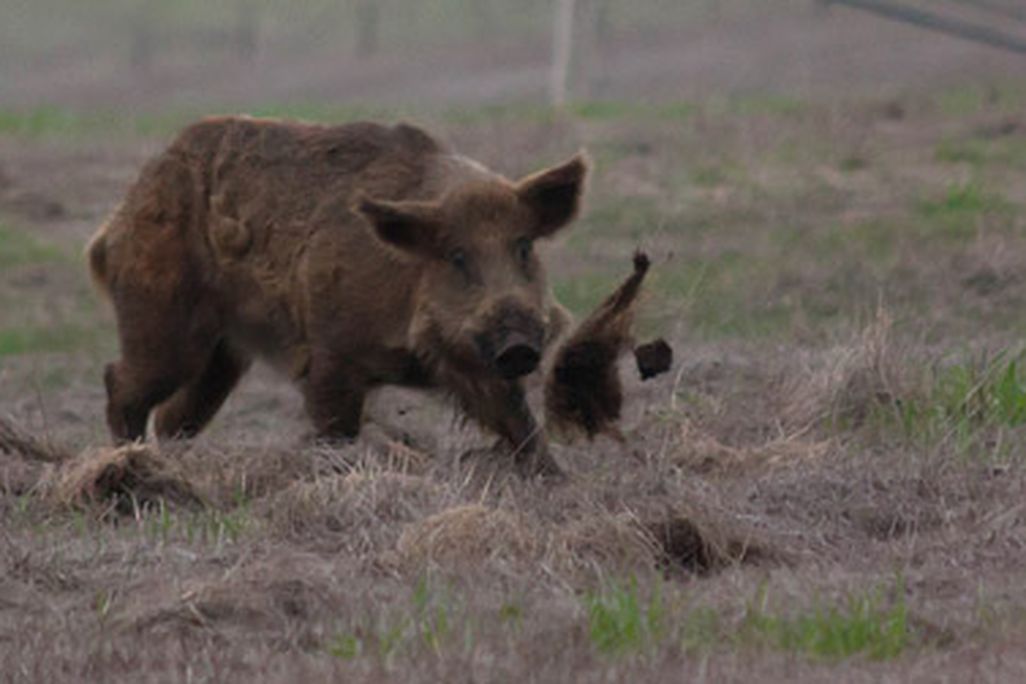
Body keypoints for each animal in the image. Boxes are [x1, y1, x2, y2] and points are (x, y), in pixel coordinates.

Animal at [87, 116, 587, 477]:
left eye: (523, 246)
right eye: (457, 256)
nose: (519, 344)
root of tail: (115, 223)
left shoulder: (478, 367)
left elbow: (519, 421)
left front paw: (555, 477)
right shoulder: (331, 355)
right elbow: (335, 428)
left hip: (223, 356)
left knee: (175, 416)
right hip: (162, 321)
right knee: (120, 382)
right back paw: (127, 462)